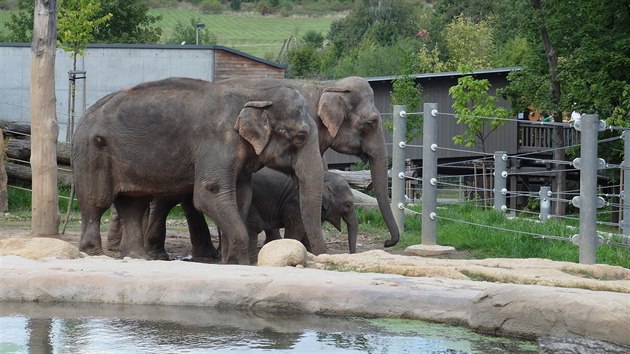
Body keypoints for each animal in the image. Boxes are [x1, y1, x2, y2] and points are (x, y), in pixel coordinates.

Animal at [71, 78, 324, 266]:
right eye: (300, 137)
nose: (322, 259)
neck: (253, 92)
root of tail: (83, 116)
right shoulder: (217, 142)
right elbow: (209, 193)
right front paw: (238, 262)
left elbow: (241, 196)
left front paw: (232, 262)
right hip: (93, 153)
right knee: (96, 202)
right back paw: (94, 253)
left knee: (133, 205)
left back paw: (138, 258)